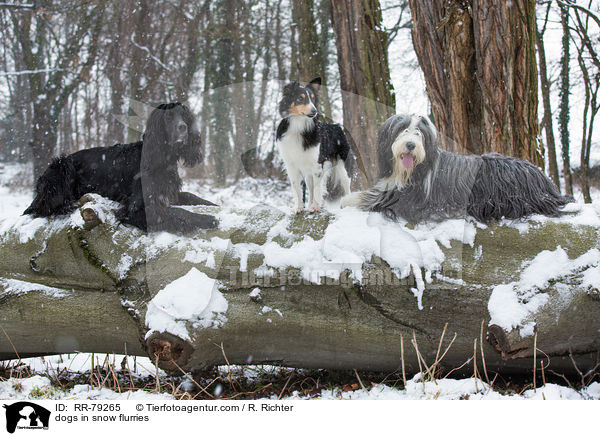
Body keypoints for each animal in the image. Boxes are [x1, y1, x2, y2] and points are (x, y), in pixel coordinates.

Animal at [25, 102, 219, 233]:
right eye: (168, 117)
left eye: (184, 116)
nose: (183, 127)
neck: (162, 158)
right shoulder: (135, 208)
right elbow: (177, 213)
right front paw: (206, 219)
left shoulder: (166, 193)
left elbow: (192, 197)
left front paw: (213, 206)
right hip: (62, 165)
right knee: (42, 207)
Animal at [276, 78, 352, 215]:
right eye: (300, 99)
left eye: (312, 98)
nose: (314, 111)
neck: (299, 125)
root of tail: (337, 126)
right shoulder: (291, 166)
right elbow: (297, 188)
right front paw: (298, 207)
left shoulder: (317, 164)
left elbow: (317, 189)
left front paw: (316, 207)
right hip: (308, 173)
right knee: (310, 187)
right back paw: (310, 204)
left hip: (342, 165)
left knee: (346, 184)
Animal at [342, 114, 572, 223]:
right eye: (402, 129)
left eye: (420, 133)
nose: (410, 145)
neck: (410, 171)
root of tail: (544, 181)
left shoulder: (406, 199)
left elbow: (369, 198)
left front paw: (347, 199)